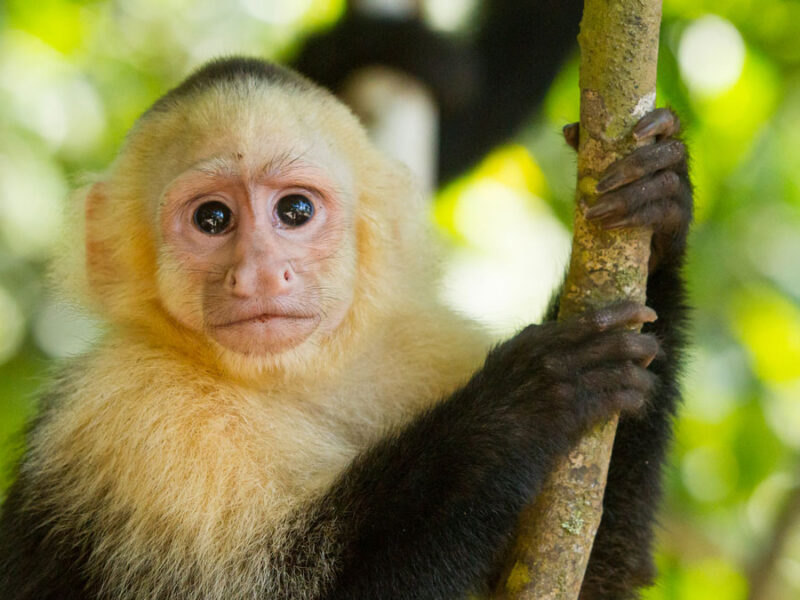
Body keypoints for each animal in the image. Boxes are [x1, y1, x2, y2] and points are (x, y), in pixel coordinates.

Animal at [0, 58, 691, 600]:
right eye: (212, 219)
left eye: (295, 211)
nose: (259, 273)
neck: (295, 380)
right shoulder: (130, 412)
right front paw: (523, 404)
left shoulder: (423, 350)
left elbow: (586, 578)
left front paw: (661, 210)